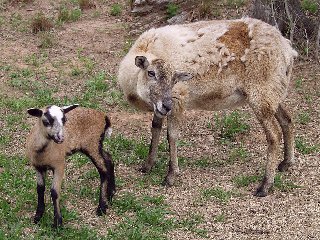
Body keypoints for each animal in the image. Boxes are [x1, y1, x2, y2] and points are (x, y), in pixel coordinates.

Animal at [117, 17, 298, 197]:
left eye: (175, 79)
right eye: (151, 73)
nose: (167, 105)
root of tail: (287, 48)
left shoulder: (178, 98)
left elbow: (171, 135)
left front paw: (171, 175)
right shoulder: (160, 106)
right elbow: (155, 128)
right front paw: (147, 165)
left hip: (261, 90)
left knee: (274, 135)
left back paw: (265, 185)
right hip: (273, 90)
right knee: (287, 120)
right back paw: (286, 163)